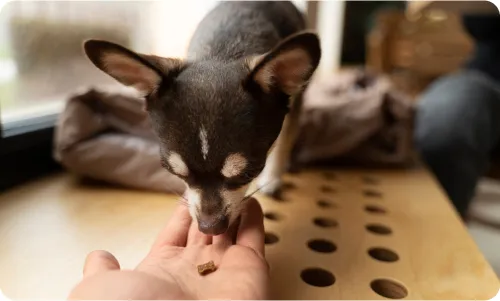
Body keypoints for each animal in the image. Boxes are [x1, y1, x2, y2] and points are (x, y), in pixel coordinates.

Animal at [83, 0, 320, 234]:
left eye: (248, 174)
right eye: (177, 173)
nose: (209, 228)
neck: (224, 49)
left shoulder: (293, 103)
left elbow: (284, 141)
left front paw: (272, 177)